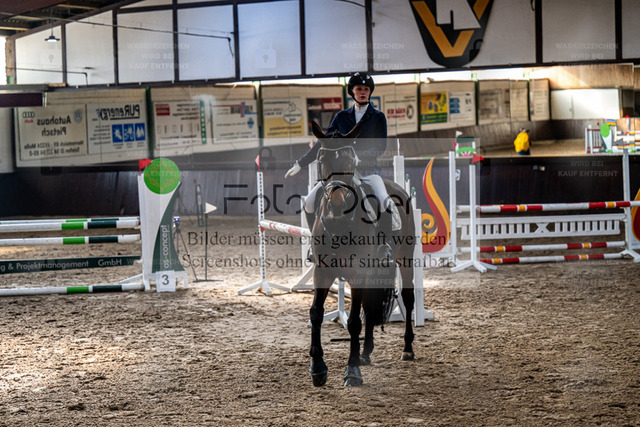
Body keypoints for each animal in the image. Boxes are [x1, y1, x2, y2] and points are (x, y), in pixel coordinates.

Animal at [307, 121, 417, 387]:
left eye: (351, 161)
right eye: (322, 159)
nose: (337, 204)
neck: (338, 224)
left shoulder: (358, 272)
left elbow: (354, 321)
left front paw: (352, 371)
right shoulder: (321, 271)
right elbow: (316, 313)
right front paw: (318, 368)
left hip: (405, 258)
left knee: (407, 299)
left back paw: (407, 348)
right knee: (370, 304)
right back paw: (366, 352)